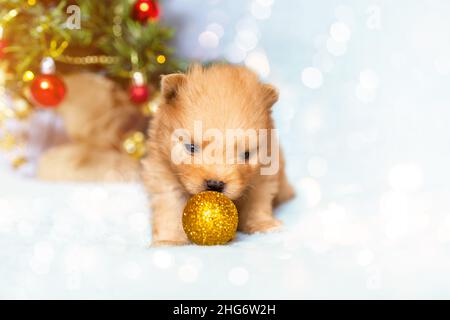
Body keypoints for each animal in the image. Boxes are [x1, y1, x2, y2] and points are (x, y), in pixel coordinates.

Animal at [142, 64, 296, 245]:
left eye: (246, 154)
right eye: (191, 147)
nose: (214, 184)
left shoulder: (262, 176)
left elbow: (257, 203)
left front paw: (264, 225)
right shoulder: (163, 174)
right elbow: (170, 208)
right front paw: (169, 240)